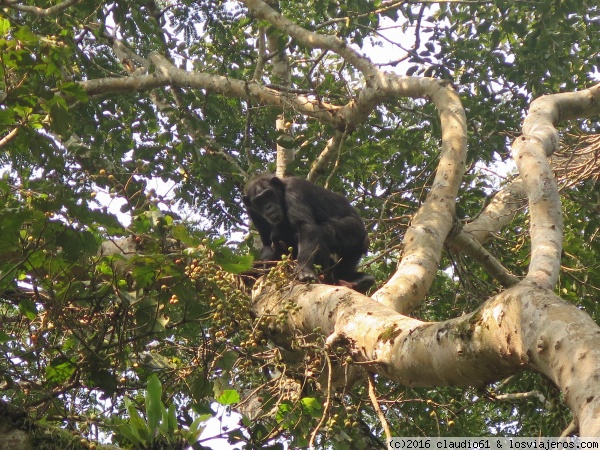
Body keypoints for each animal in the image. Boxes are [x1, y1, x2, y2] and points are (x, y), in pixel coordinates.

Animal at [241, 172, 372, 292]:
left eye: (269, 194)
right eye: (259, 201)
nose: (268, 206)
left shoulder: (294, 191)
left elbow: (305, 226)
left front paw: (304, 270)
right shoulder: (252, 211)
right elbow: (267, 242)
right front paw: (264, 263)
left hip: (354, 229)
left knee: (324, 232)